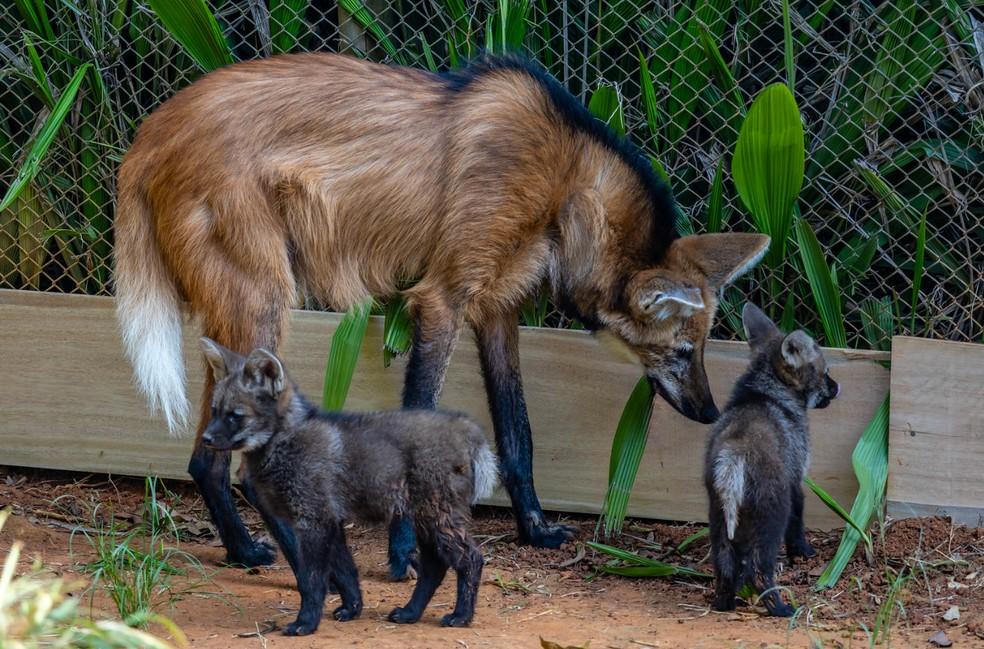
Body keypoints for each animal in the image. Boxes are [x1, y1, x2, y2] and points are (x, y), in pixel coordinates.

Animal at [114, 51, 770, 576]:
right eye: (682, 351)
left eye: (701, 350)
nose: (710, 411)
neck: (564, 190)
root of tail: (149, 132)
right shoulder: (442, 297)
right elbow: (421, 416)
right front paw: (406, 554)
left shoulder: (498, 307)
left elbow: (518, 431)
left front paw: (535, 530)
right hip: (263, 302)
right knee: (229, 460)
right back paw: (272, 554)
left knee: (204, 458)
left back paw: (245, 549)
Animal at [199, 337, 496, 635]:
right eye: (215, 411)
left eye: (235, 415)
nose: (205, 439)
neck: (283, 441)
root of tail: (468, 428)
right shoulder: (331, 521)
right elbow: (346, 573)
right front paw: (352, 609)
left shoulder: (314, 521)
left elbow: (312, 580)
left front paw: (305, 623)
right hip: (424, 519)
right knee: (435, 567)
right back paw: (410, 612)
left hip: (435, 517)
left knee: (471, 558)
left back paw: (460, 616)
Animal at [703, 303, 840, 616]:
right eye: (825, 372)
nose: (837, 388)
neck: (765, 394)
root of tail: (733, 454)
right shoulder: (796, 478)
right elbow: (798, 521)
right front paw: (804, 552)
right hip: (772, 514)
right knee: (758, 568)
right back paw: (781, 608)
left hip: (719, 516)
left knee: (725, 566)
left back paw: (724, 605)